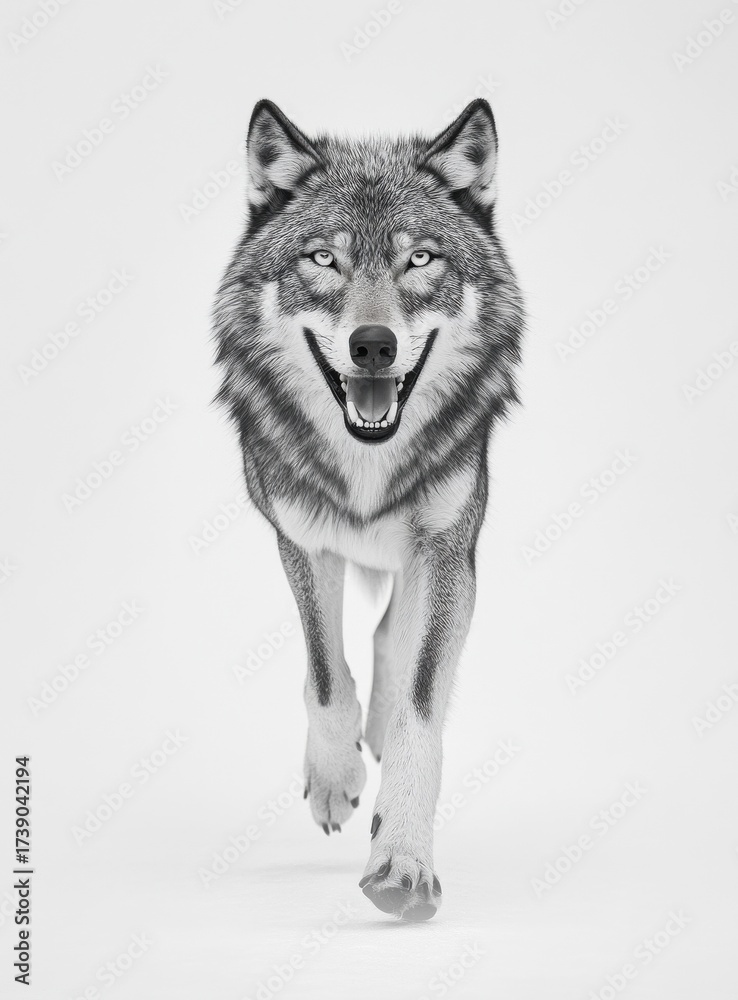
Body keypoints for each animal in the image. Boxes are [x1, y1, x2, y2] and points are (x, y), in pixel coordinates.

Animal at [213, 98, 524, 921]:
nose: (374, 344)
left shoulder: (448, 551)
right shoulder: (298, 539)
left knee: (397, 638)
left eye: (420, 260)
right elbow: (325, 677)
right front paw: (335, 780)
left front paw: (403, 862)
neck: (367, 466)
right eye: (325, 260)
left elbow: (420, 711)